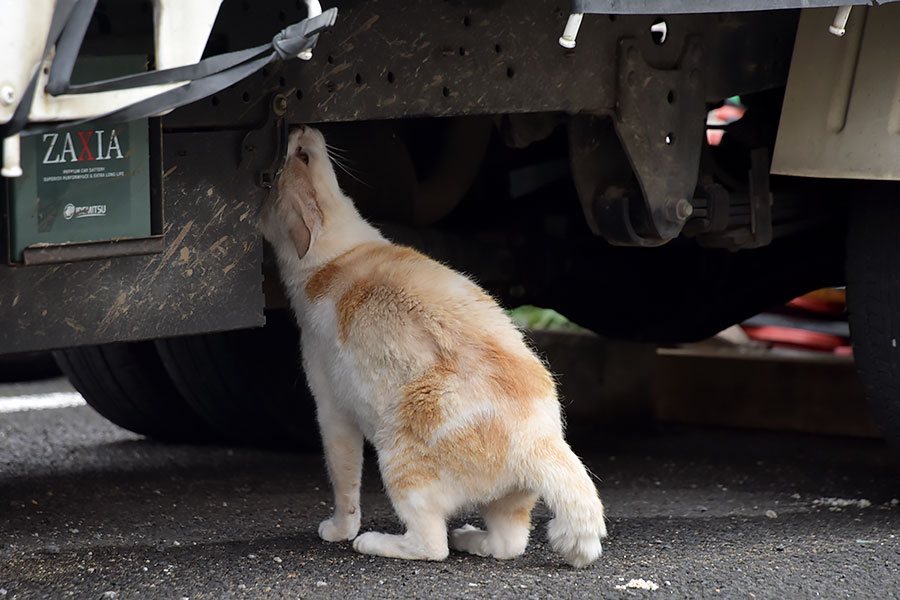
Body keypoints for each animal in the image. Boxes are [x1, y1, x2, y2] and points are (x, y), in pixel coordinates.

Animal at [260, 125, 612, 568]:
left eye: (300, 156)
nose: (300, 127)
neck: (339, 254)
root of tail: (539, 440)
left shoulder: (332, 411)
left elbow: (343, 481)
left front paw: (340, 530)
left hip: (398, 458)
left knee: (431, 545)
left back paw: (375, 542)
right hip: (507, 501)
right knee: (507, 544)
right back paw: (472, 539)